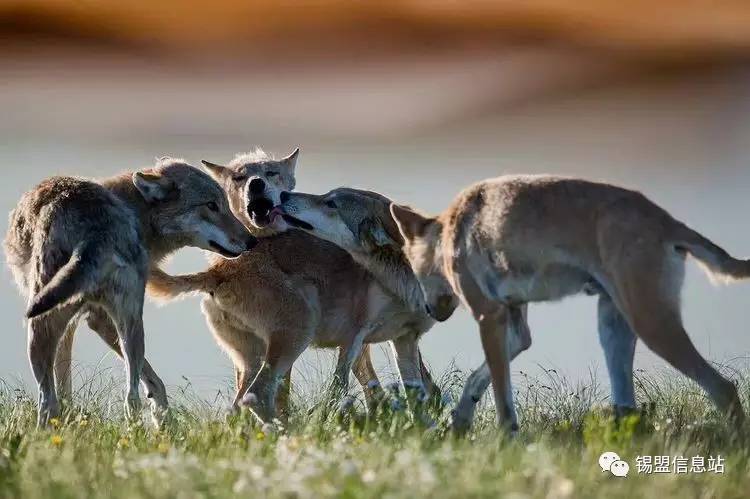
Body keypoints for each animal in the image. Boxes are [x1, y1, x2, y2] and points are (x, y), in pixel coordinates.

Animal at [2, 159, 258, 426]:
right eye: (212, 206)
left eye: (224, 205)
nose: (252, 241)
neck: (136, 212)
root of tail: (97, 227)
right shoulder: (91, 320)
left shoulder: (94, 319)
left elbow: (64, 381)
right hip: (128, 323)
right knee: (129, 397)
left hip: (48, 325)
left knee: (50, 401)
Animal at [148, 150, 440, 424]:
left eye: (331, 202)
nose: (286, 196)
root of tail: (219, 269)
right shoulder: (354, 339)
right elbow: (339, 390)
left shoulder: (403, 340)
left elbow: (414, 392)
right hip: (296, 336)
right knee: (257, 396)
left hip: (255, 358)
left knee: (239, 406)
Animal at [390, 177, 748, 434]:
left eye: (413, 269)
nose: (429, 312)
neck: (449, 233)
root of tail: (667, 221)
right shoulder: (515, 331)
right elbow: (476, 381)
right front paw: (460, 423)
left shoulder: (488, 318)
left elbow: (503, 401)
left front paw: (507, 444)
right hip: (614, 330)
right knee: (628, 406)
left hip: (652, 325)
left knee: (725, 388)